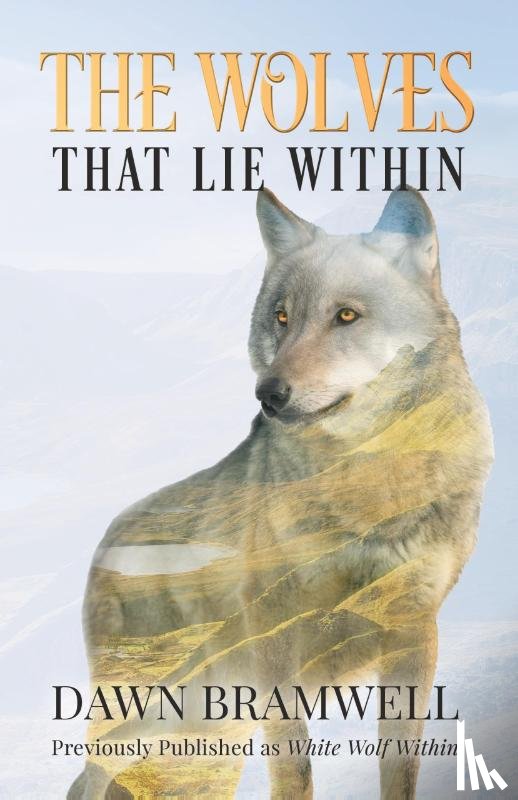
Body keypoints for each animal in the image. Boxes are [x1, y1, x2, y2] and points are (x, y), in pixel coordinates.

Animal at [69, 188, 493, 800]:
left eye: (346, 315)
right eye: (282, 317)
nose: (268, 394)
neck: (364, 490)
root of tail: (107, 537)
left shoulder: (413, 634)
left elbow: (399, 765)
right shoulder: (274, 647)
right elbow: (295, 769)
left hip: (205, 734)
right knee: (88, 777)